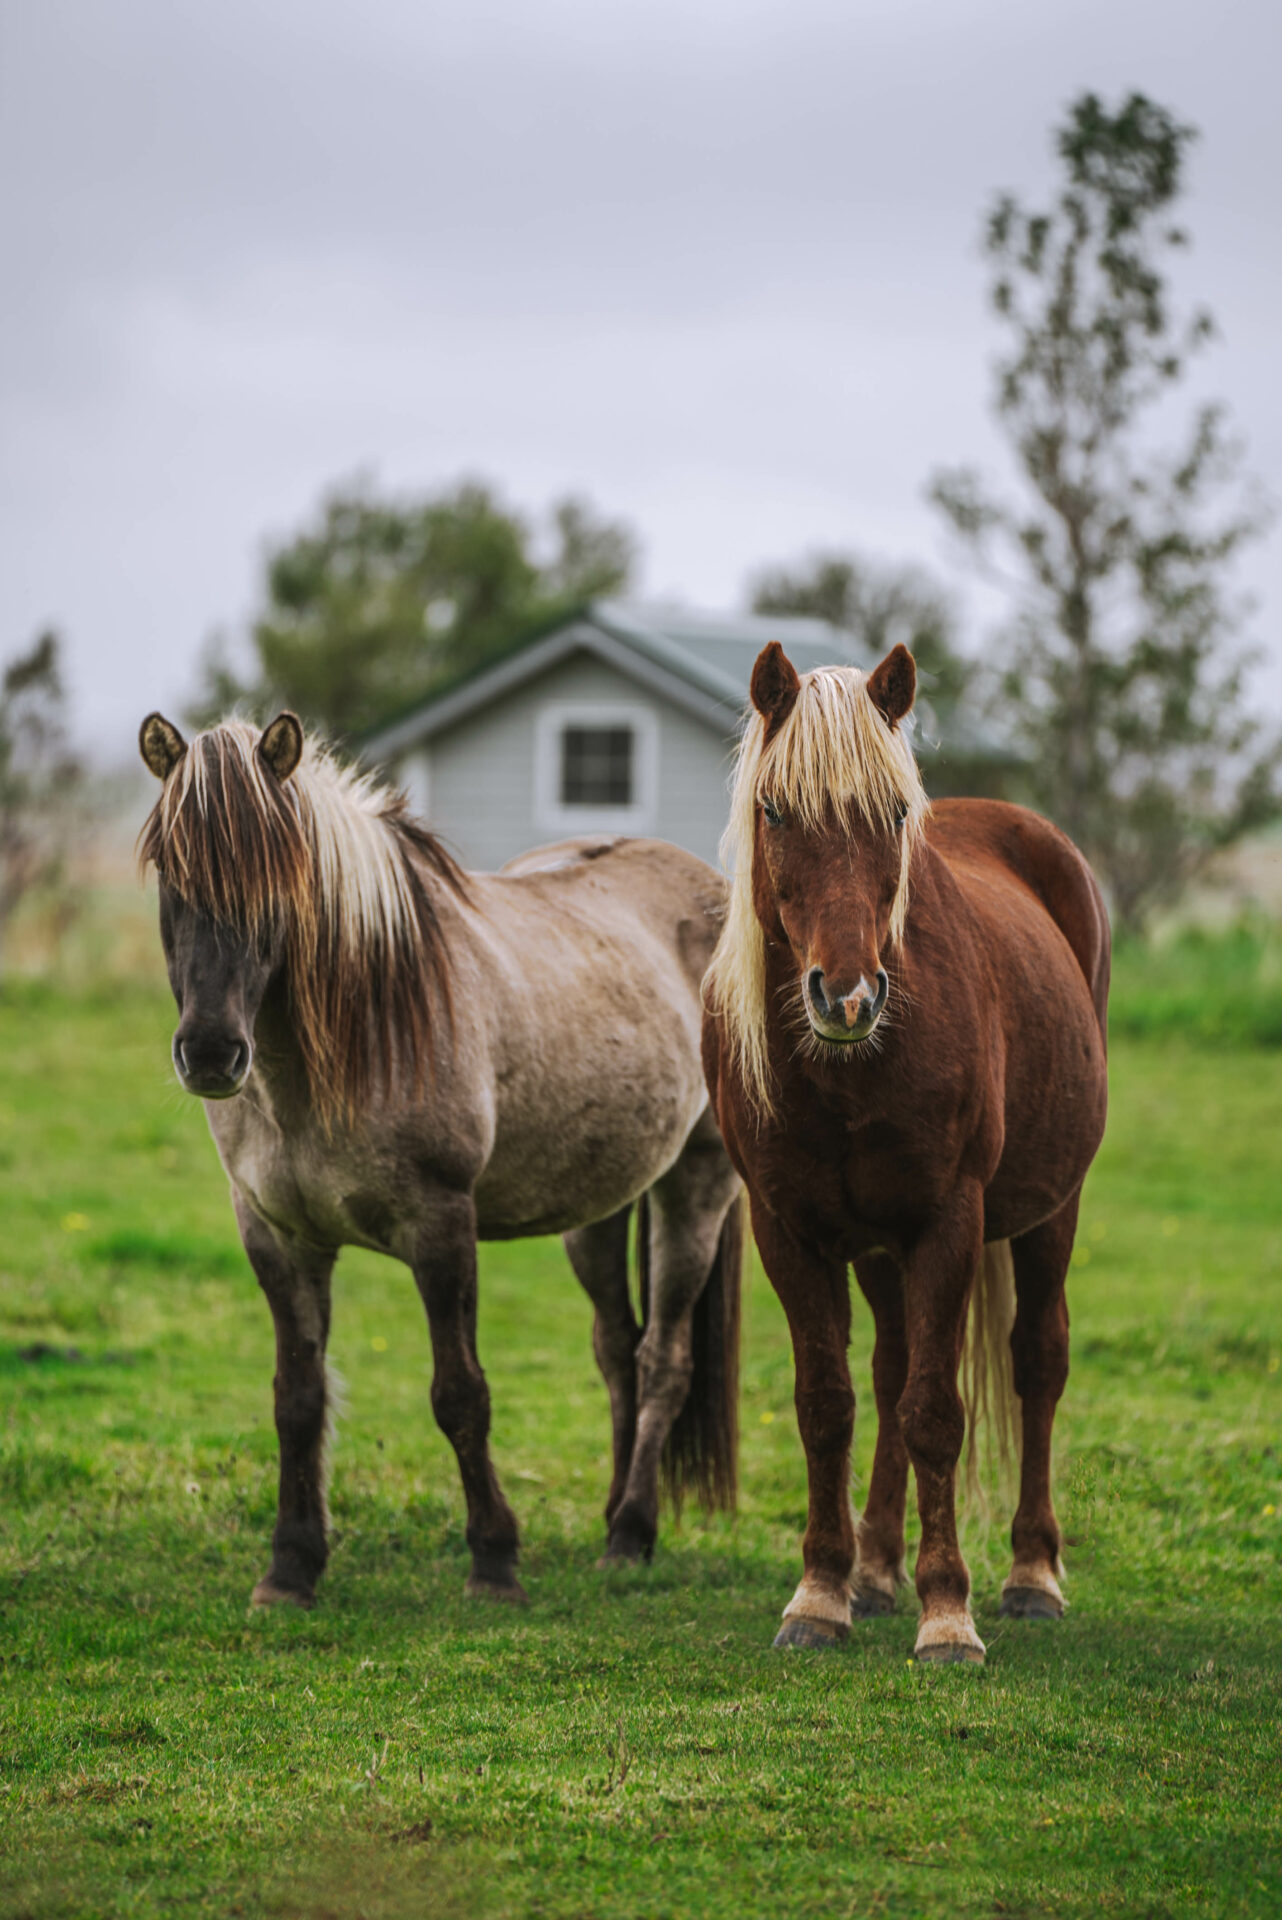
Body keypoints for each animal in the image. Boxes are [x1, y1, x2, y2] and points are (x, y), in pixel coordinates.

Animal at [706, 645, 1105, 1666]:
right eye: (776, 809)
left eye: (892, 813)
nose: (847, 996)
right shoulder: (790, 1230)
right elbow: (829, 1404)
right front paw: (821, 1592)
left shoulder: (947, 1223)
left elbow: (935, 1409)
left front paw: (948, 1612)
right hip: (878, 1248)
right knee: (885, 1371)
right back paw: (876, 1570)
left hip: (1051, 1211)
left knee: (1037, 1361)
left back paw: (1031, 1574)